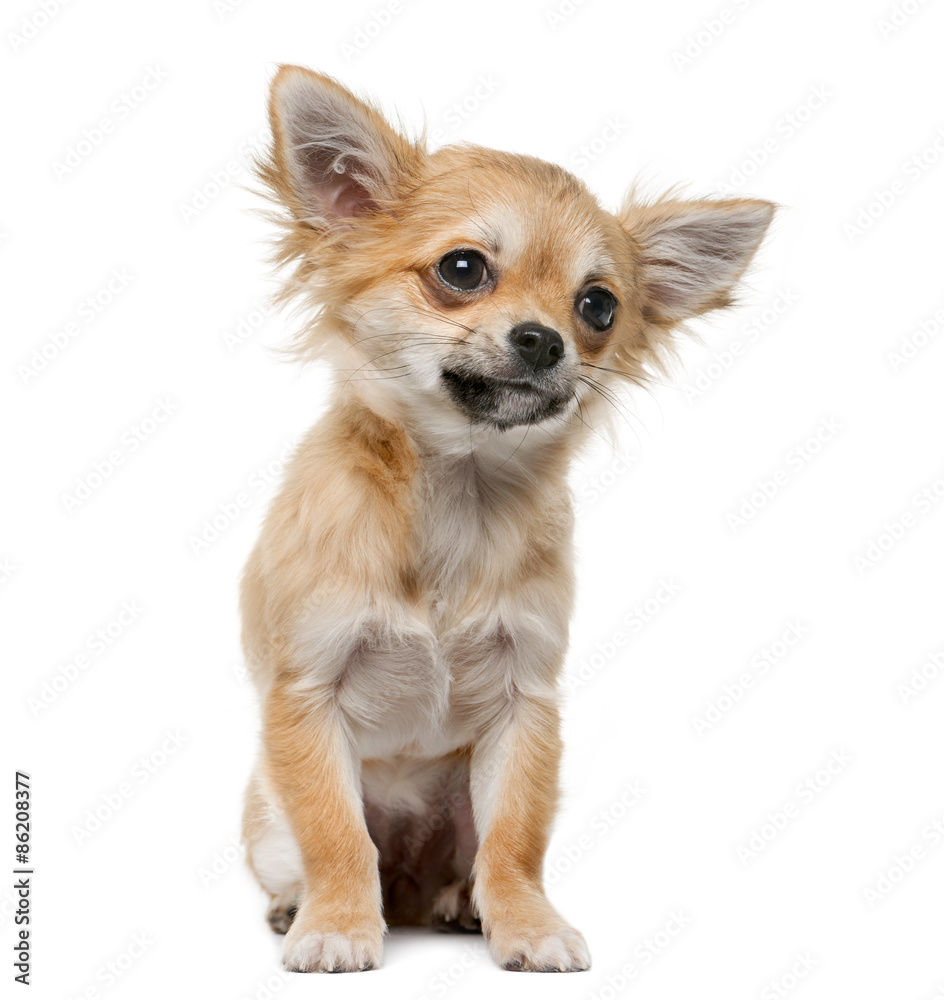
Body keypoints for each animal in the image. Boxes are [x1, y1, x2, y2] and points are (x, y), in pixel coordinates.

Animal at [238, 62, 776, 968]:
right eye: (462, 269)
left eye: (598, 307)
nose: (545, 339)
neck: (459, 493)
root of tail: (409, 889)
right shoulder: (306, 693)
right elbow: (338, 835)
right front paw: (338, 925)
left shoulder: (527, 703)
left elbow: (516, 841)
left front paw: (527, 926)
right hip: (266, 816)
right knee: (326, 849)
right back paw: (299, 905)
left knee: (475, 857)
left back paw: (462, 903)